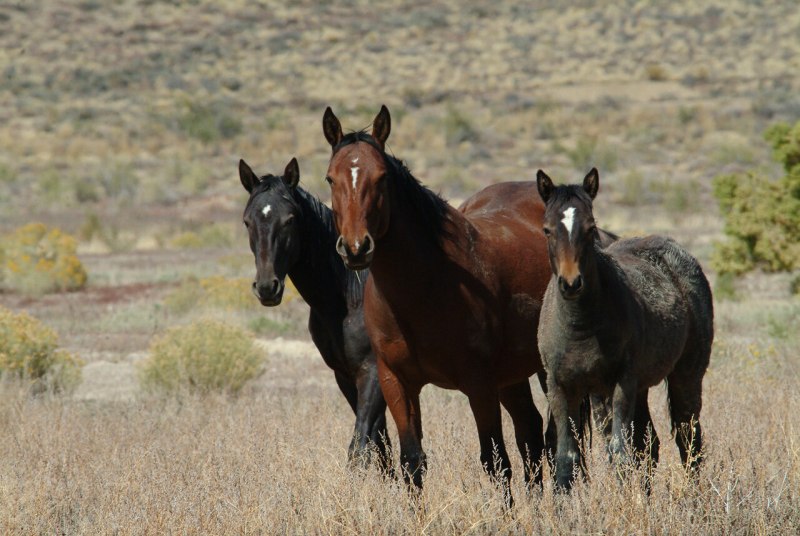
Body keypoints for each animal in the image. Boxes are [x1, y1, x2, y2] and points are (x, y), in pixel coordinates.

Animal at [238, 158, 390, 468]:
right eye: (248, 221)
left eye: (289, 219)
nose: (267, 287)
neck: (349, 298)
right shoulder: (344, 375)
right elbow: (380, 446)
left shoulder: (372, 372)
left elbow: (360, 446)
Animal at [322, 105, 552, 506]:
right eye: (330, 178)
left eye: (381, 177)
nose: (356, 248)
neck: (424, 287)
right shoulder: (396, 383)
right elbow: (412, 463)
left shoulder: (479, 385)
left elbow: (495, 461)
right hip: (513, 375)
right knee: (531, 433)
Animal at [536, 170, 712, 492]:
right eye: (547, 230)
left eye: (591, 228)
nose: (571, 283)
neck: (581, 326)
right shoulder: (560, 387)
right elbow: (567, 457)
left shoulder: (622, 384)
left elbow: (620, 452)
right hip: (635, 389)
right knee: (650, 445)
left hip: (686, 376)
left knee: (688, 439)